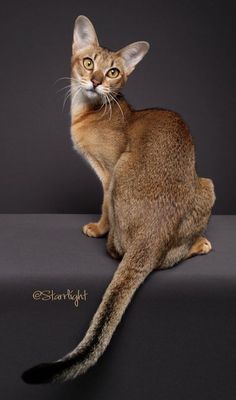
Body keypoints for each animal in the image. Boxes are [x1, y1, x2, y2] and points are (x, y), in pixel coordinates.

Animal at [22, 14, 216, 384]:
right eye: (88, 63)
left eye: (113, 72)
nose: (96, 81)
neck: (91, 111)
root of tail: (152, 235)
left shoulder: (108, 172)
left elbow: (103, 207)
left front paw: (97, 229)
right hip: (207, 184)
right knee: (170, 257)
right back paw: (200, 243)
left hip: (129, 171)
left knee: (119, 252)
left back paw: (195, 244)